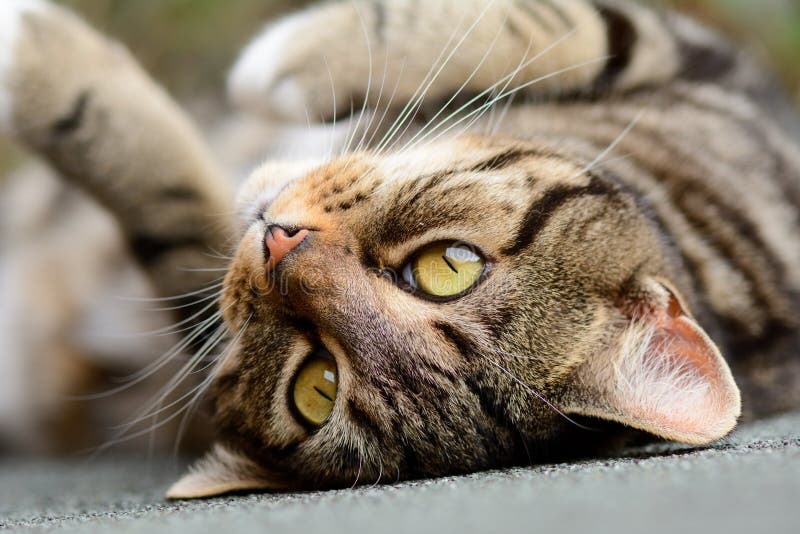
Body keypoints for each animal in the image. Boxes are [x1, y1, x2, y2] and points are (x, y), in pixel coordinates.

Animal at [1, 0, 800, 502]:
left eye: (317, 387)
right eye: (448, 266)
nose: (280, 243)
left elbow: (172, 200)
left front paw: (36, 56)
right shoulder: (721, 76)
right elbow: (572, 25)